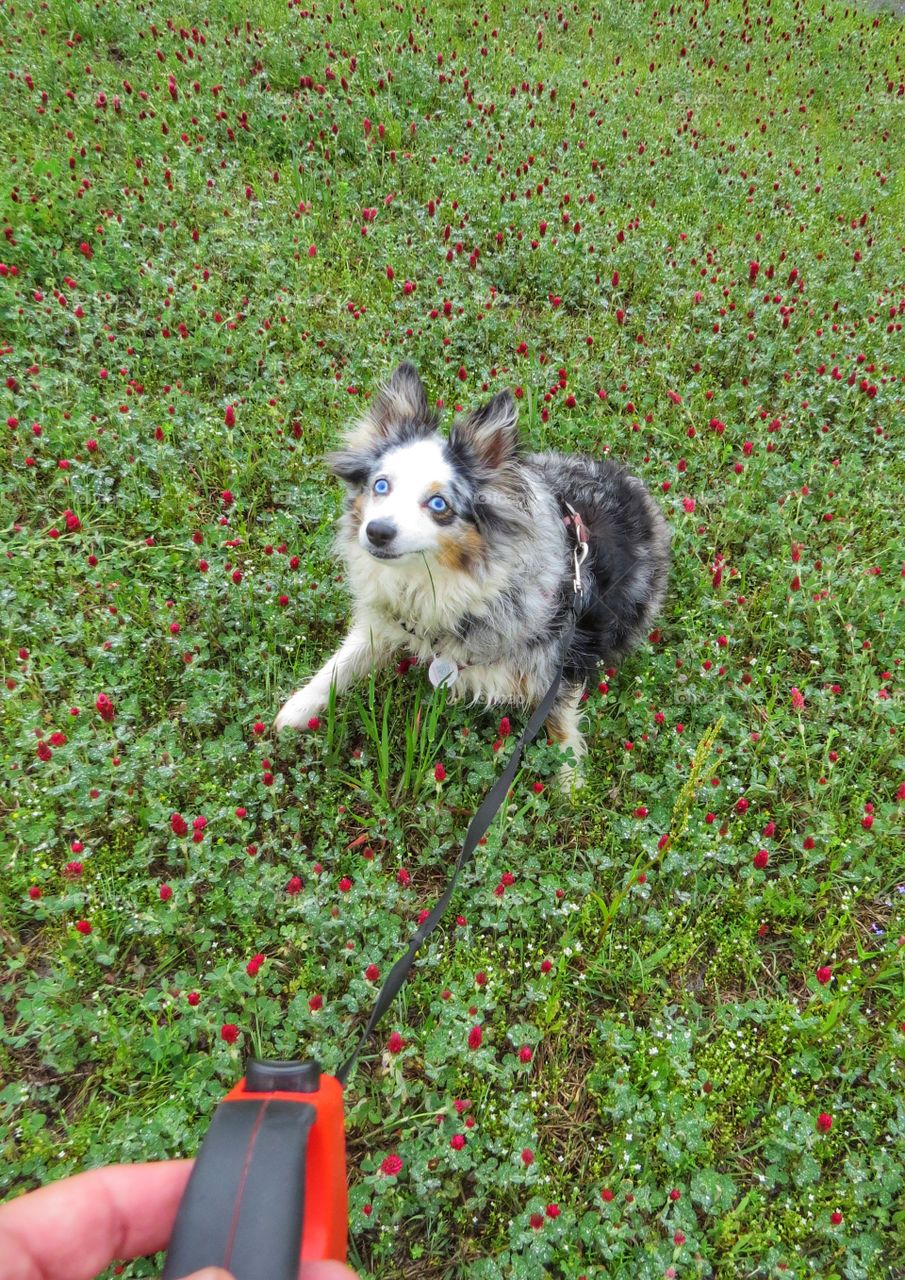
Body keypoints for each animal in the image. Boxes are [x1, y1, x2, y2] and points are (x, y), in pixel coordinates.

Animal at [272, 360, 670, 778]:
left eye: (439, 504)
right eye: (380, 485)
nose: (376, 532)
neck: (439, 579)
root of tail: (632, 485)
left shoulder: (560, 660)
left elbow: (561, 723)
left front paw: (570, 779)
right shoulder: (387, 619)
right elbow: (343, 661)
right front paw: (297, 708)